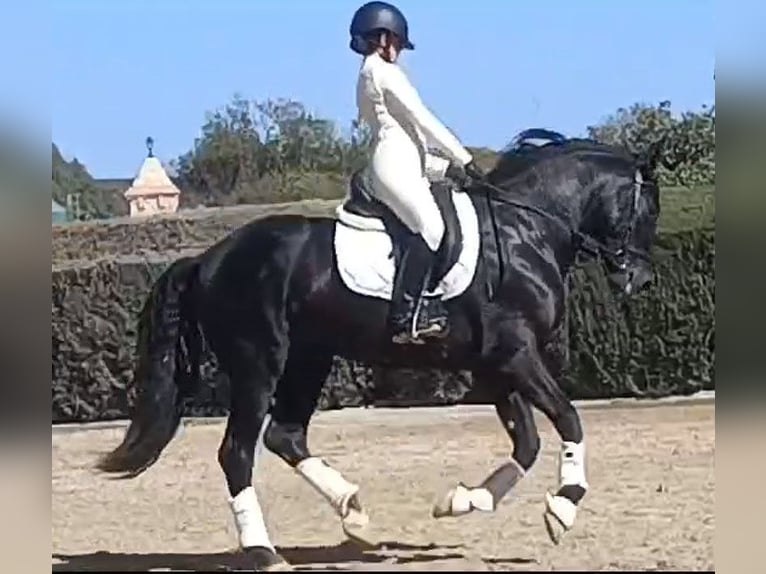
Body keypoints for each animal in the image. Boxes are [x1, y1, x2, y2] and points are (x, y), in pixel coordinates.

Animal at [97, 129, 664, 571]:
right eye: (649, 209)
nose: (639, 278)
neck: (525, 232)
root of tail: (208, 259)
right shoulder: (516, 355)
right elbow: (568, 420)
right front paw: (562, 508)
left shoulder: (495, 364)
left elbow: (526, 441)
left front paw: (463, 500)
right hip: (259, 366)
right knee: (238, 452)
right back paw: (264, 551)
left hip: (309, 359)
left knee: (286, 436)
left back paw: (353, 509)